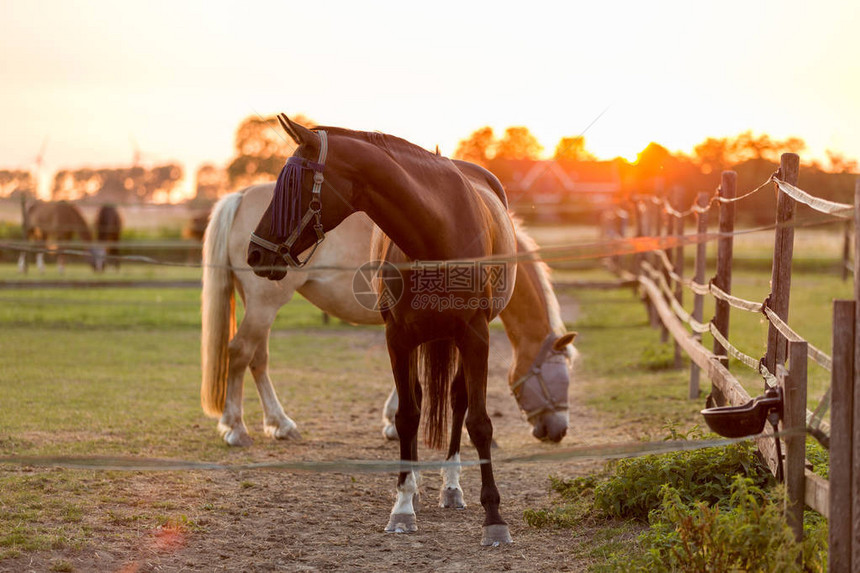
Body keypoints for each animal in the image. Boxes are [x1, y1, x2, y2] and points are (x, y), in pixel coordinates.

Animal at [202, 183, 576, 446]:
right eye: (556, 376)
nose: (558, 430)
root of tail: (241, 195)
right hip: (264, 304)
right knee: (239, 352)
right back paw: (235, 428)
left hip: (259, 305)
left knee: (258, 359)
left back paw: (280, 424)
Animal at [245, 116, 532, 544]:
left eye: (294, 185)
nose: (256, 253)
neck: (437, 232)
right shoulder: (397, 338)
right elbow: (407, 417)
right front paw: (403, 507)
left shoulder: (475, 336)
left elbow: (479, 422)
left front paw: (494, 519)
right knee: (423, 399)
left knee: (458, 401)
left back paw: (452, 487)